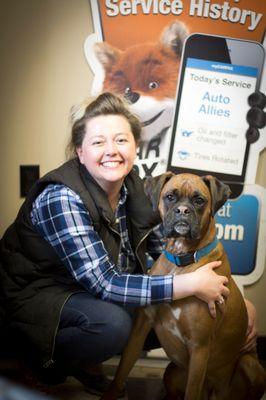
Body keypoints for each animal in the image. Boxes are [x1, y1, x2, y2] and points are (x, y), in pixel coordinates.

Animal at [100, 172, 266, 400]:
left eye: (199, 200)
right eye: (170, 197)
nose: (182, 210)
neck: (181, 262)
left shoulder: (199, 348)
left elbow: (192, 391)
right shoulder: (139, 330)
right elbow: (121, 371)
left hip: (251, 366)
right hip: (171, 371)